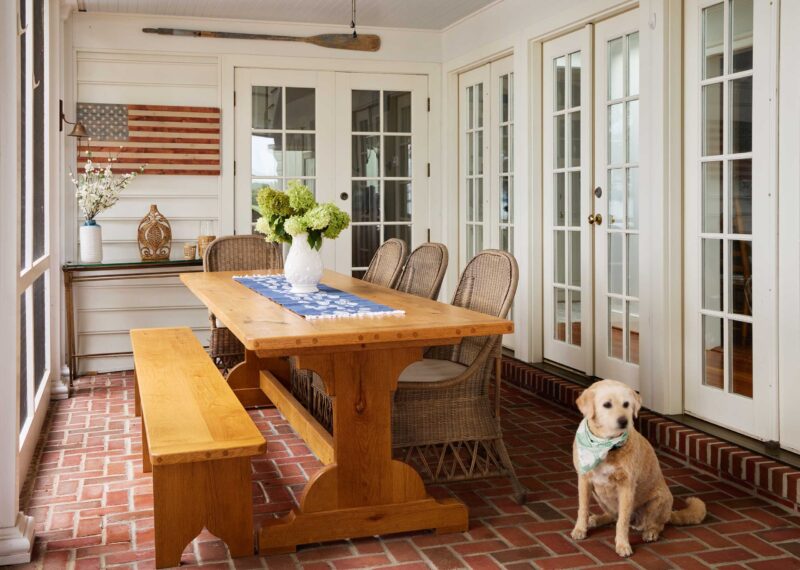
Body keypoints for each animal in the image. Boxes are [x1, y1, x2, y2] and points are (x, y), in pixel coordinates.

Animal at [568, 378, 708, 556]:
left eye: (626, 404)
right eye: (607, 404)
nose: (624, 421)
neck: (607, 446)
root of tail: (670, 513)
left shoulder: (626, 487)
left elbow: (622, 522)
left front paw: (622, 545)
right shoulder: (584, 480)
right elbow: (583, 509)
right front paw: (580, 529)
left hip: (657, 502)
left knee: (656, 524)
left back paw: (650, 532)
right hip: (600, 497)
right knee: (613, 516)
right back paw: (597, 519)